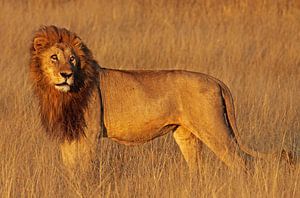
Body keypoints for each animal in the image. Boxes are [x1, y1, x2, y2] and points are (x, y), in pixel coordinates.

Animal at [29, 25, 288, 175]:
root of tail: (216, 80)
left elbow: (83, 169)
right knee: (198, 170)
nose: (66, 74)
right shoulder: (68, 134)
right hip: (186, 135)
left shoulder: (89, 133)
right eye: (54, 58)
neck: (59, 95)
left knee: (240, 163)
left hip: (213, 128)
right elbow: (69, 168)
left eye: (72, 59)